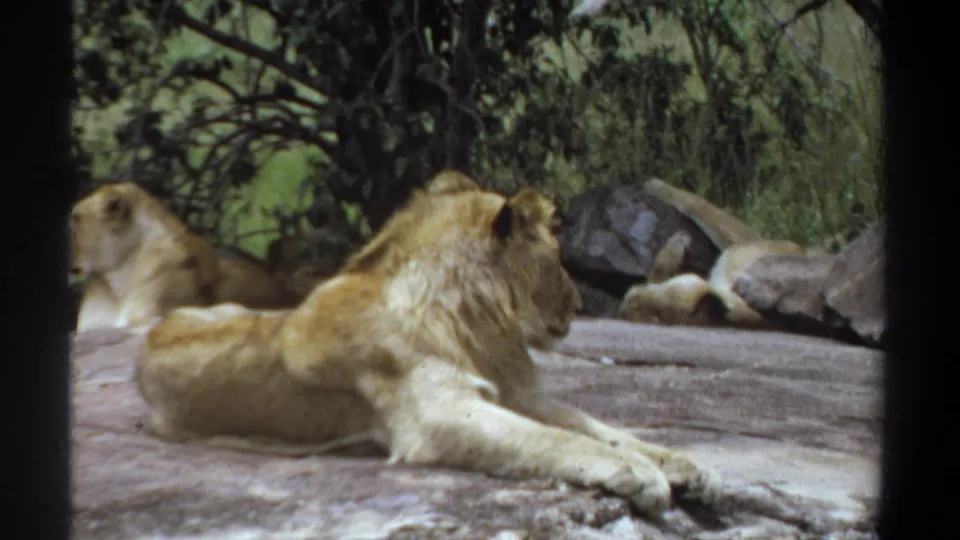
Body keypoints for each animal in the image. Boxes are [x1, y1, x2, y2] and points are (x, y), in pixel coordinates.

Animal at [136, 171, 722, 516]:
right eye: (559, 259)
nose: (579, 303)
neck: (479, 325)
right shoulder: (438, 413)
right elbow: (557, 441)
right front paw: (639, 475)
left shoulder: (521, 395)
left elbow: (605, 429)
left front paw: (685, 466)